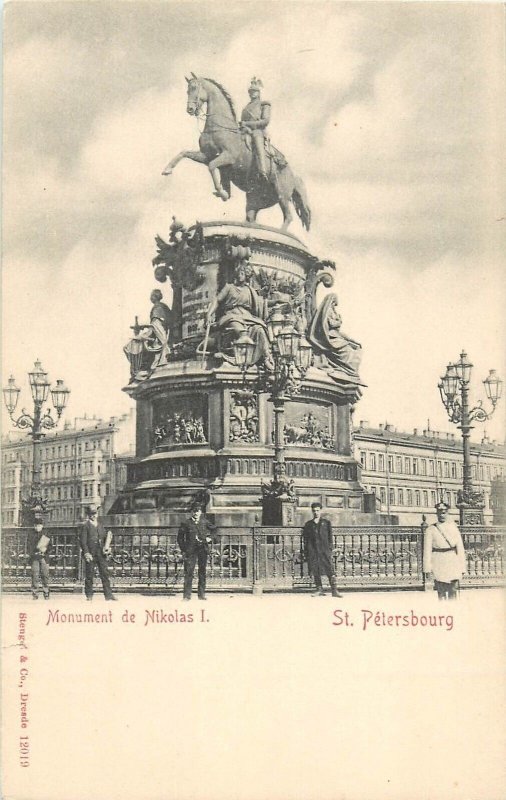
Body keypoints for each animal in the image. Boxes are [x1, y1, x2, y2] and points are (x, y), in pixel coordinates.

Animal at [164, 74, 310, 231]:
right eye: (187, 90)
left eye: (194, 88)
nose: (190, 109)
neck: (219, 127)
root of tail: (294, 175)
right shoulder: (206, 156)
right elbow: (184, 153)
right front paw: (167, 169)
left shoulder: (228, 157)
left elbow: (212, 166)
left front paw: (222, 192)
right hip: (256, 198)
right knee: (251, 217)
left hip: (281, 194)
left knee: (288, 216)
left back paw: (279, 231)